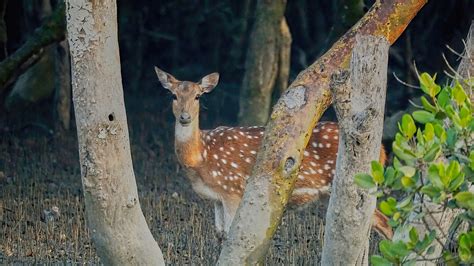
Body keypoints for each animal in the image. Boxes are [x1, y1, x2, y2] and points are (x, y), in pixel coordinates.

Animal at [156, 66, 392, 239]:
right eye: (174, 95)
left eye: (198, 96)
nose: (185, 117)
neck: (201, 157)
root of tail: (382, 152)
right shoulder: (217, 198)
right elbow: (220, 234)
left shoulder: (231, 189)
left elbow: (231, 234)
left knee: (383, 222)